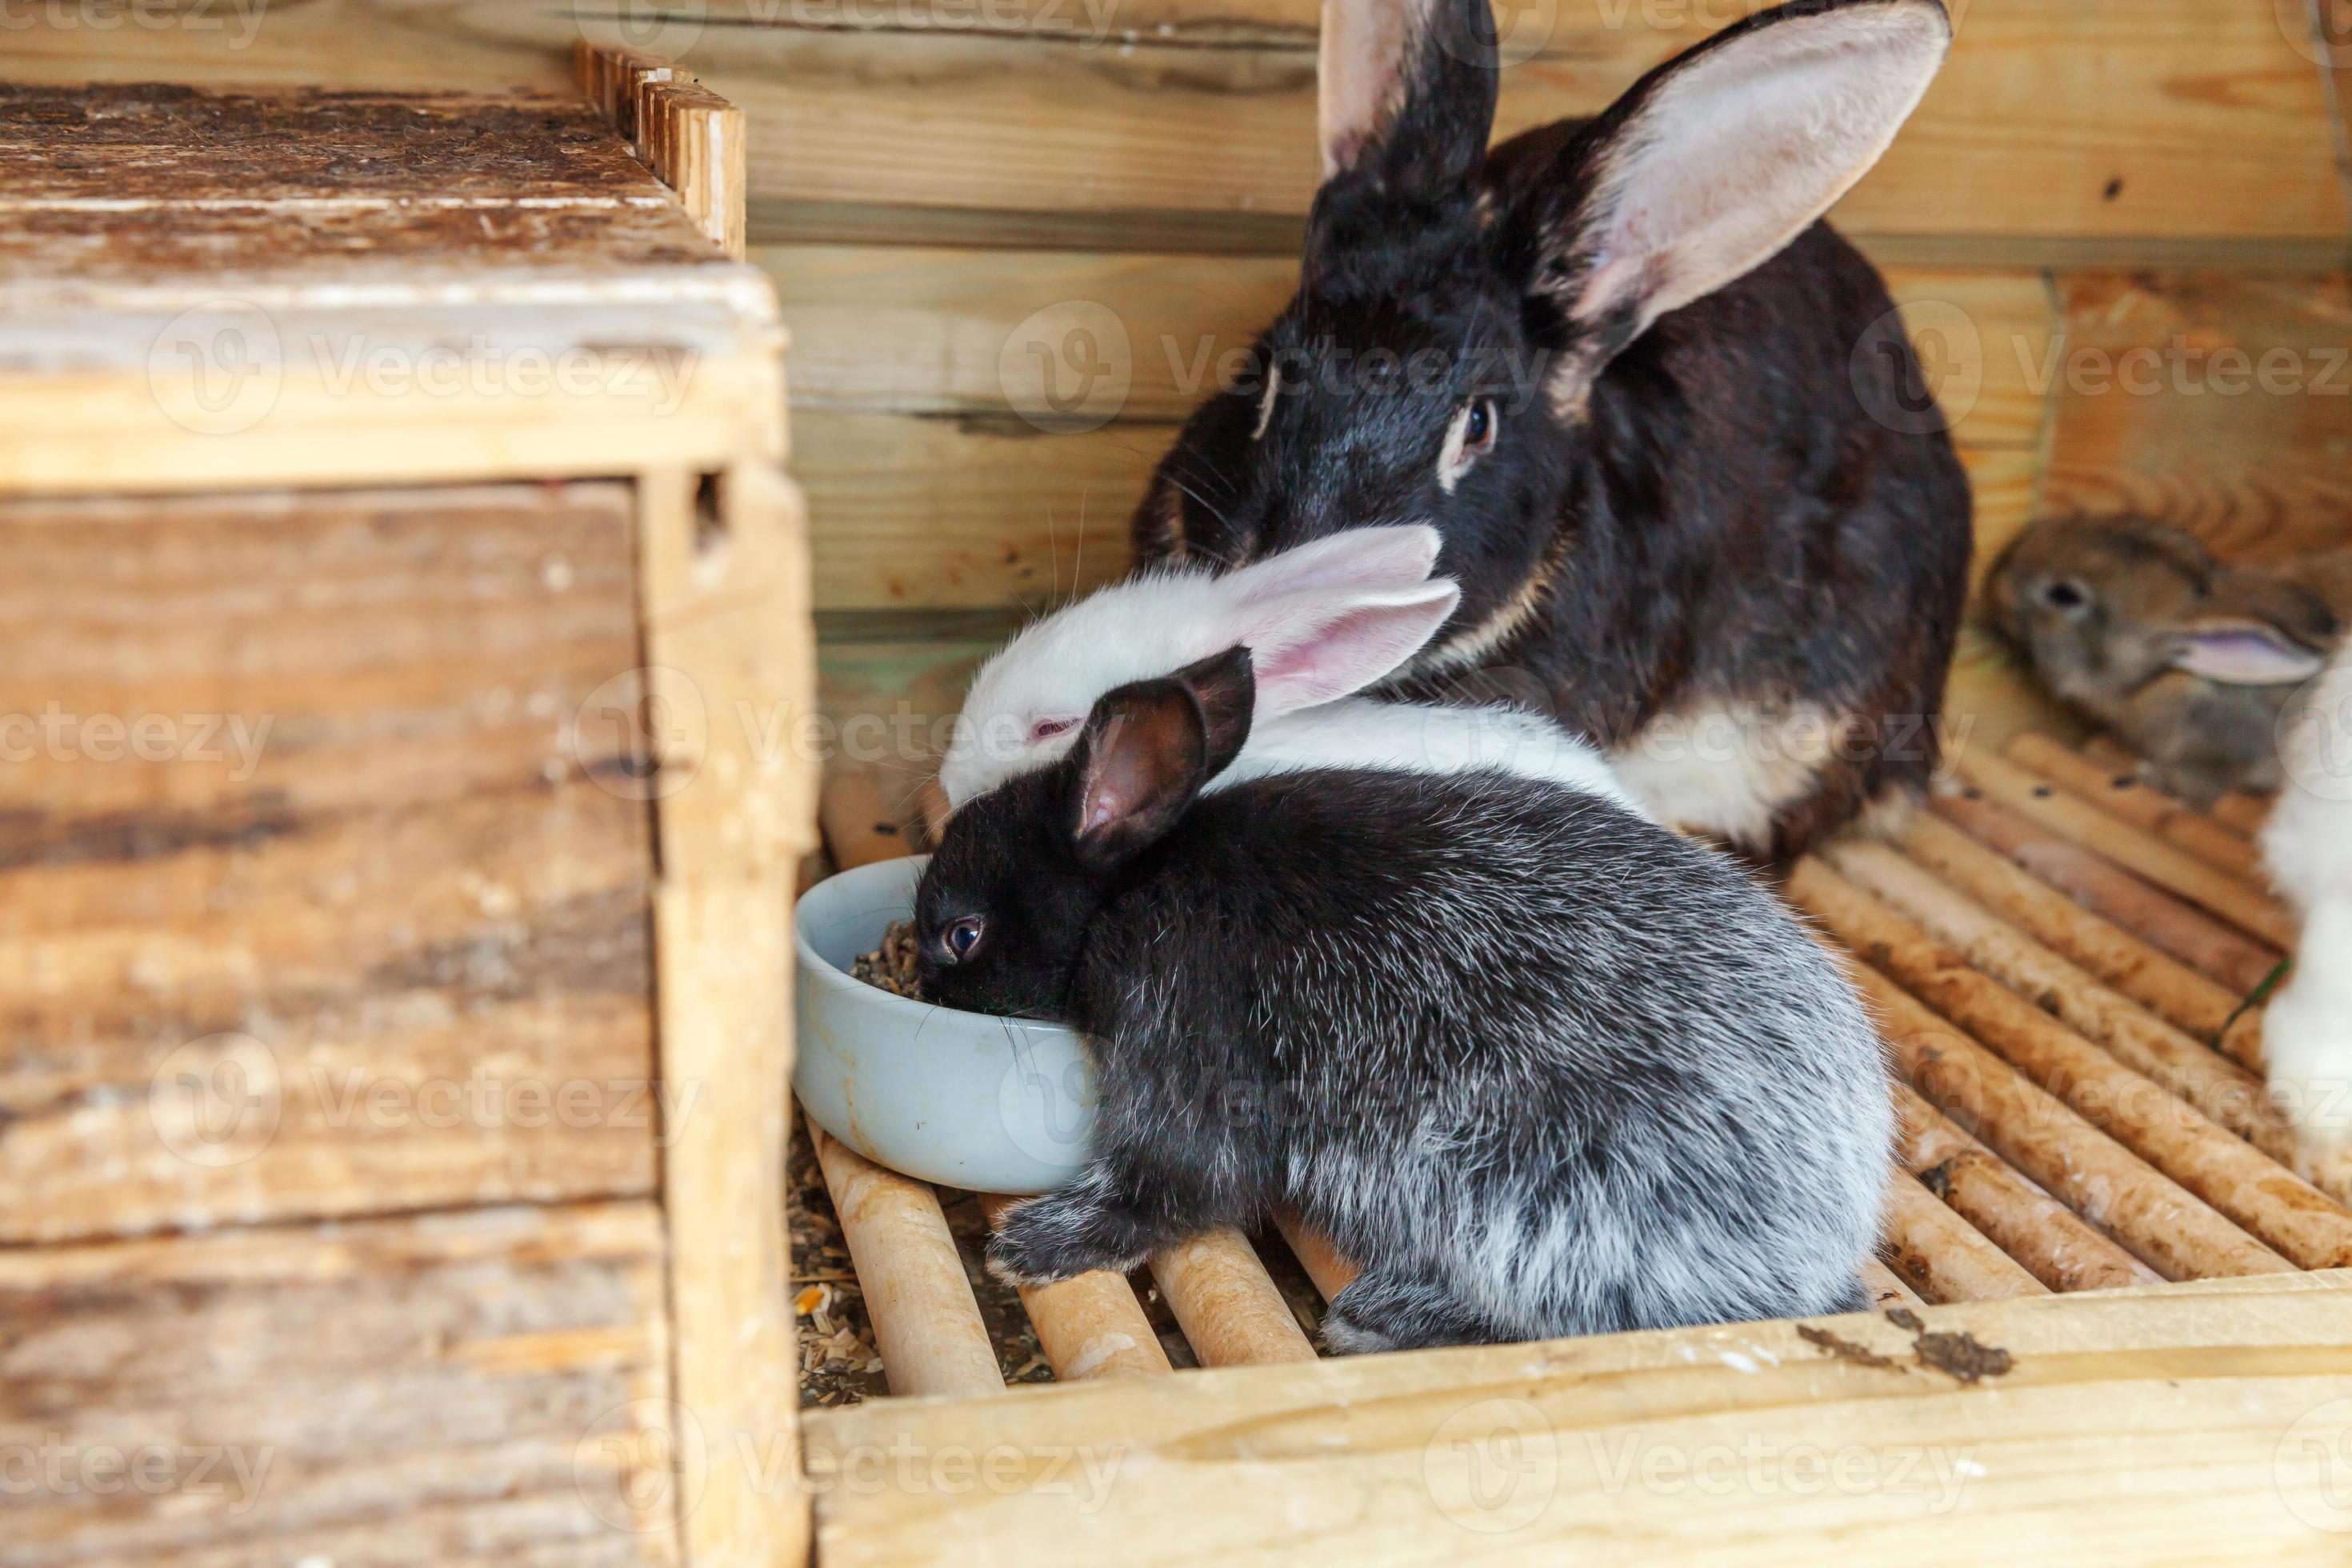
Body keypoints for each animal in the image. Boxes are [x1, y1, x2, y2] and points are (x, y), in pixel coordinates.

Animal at [913, 645, 1894, 1351]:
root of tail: (1834, 1216)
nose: (921, 980)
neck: (1131, 887)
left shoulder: (1185, 1033)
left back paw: (1380, 1317)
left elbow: (1174, 1180)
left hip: (1535, 1202)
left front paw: (1032, 1246)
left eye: (963, 933)